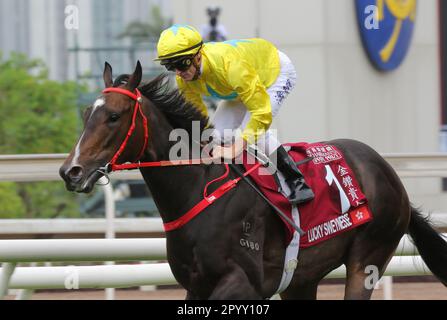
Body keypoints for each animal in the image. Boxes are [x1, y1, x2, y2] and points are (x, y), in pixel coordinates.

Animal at [59, 62, 447, 300]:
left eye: (113, 116)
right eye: (86, 114)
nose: (70, 171)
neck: (198, 191)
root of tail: (386, 170)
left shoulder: (243, 283)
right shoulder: (196, 285)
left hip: (367, 258)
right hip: (301, 279)